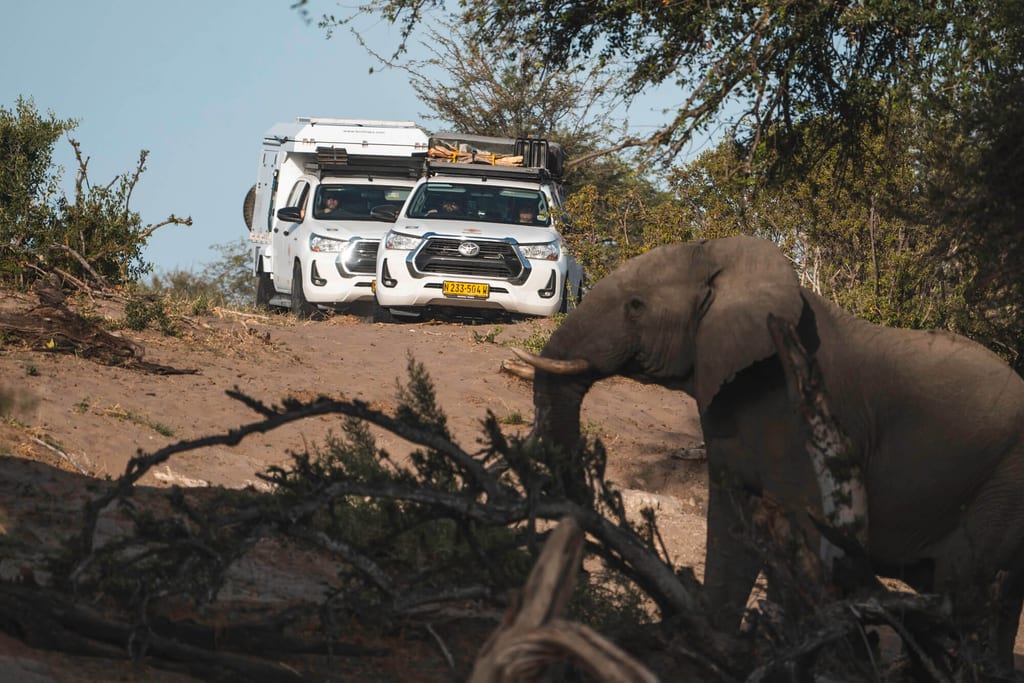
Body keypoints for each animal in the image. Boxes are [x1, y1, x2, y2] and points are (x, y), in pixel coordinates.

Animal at [513, 235, 1024, 670]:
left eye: (636, 307)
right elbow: (733, 523)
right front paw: (710, 653)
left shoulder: (800, 414)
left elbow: (799, 539)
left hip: (1004, 479)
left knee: (966, 588)